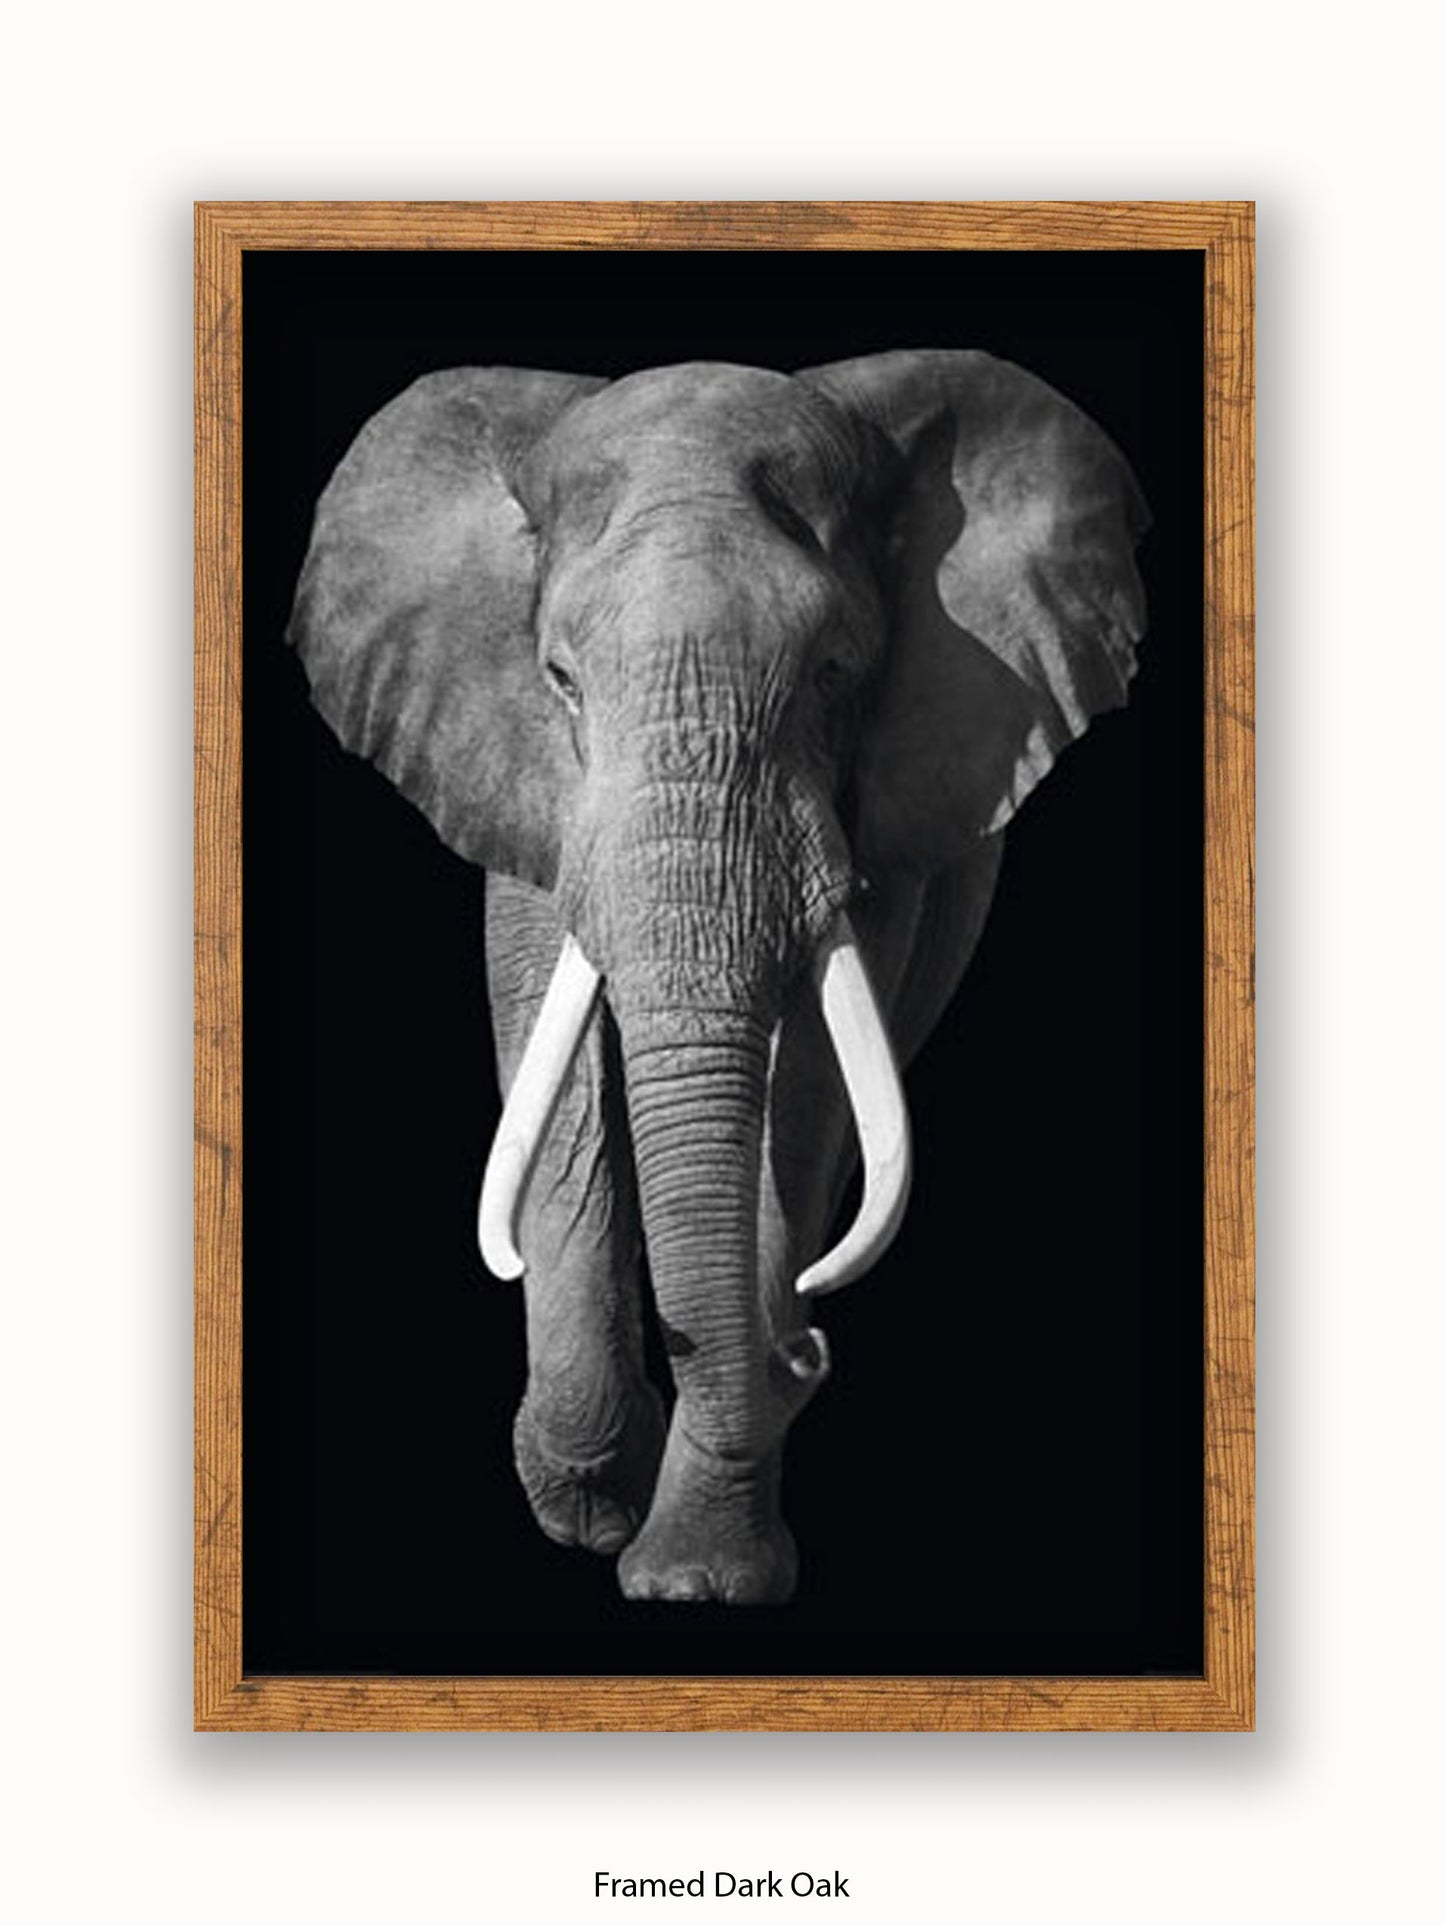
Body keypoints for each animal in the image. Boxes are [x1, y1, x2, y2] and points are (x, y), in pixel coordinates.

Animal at [287, 349, 1148, 1605]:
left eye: (836, 671)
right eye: (559, 678)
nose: (806, 1349)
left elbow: (804, 1090)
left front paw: (695, 1577)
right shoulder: (521, 776)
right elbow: (559, 1063)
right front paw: (592, 1501)